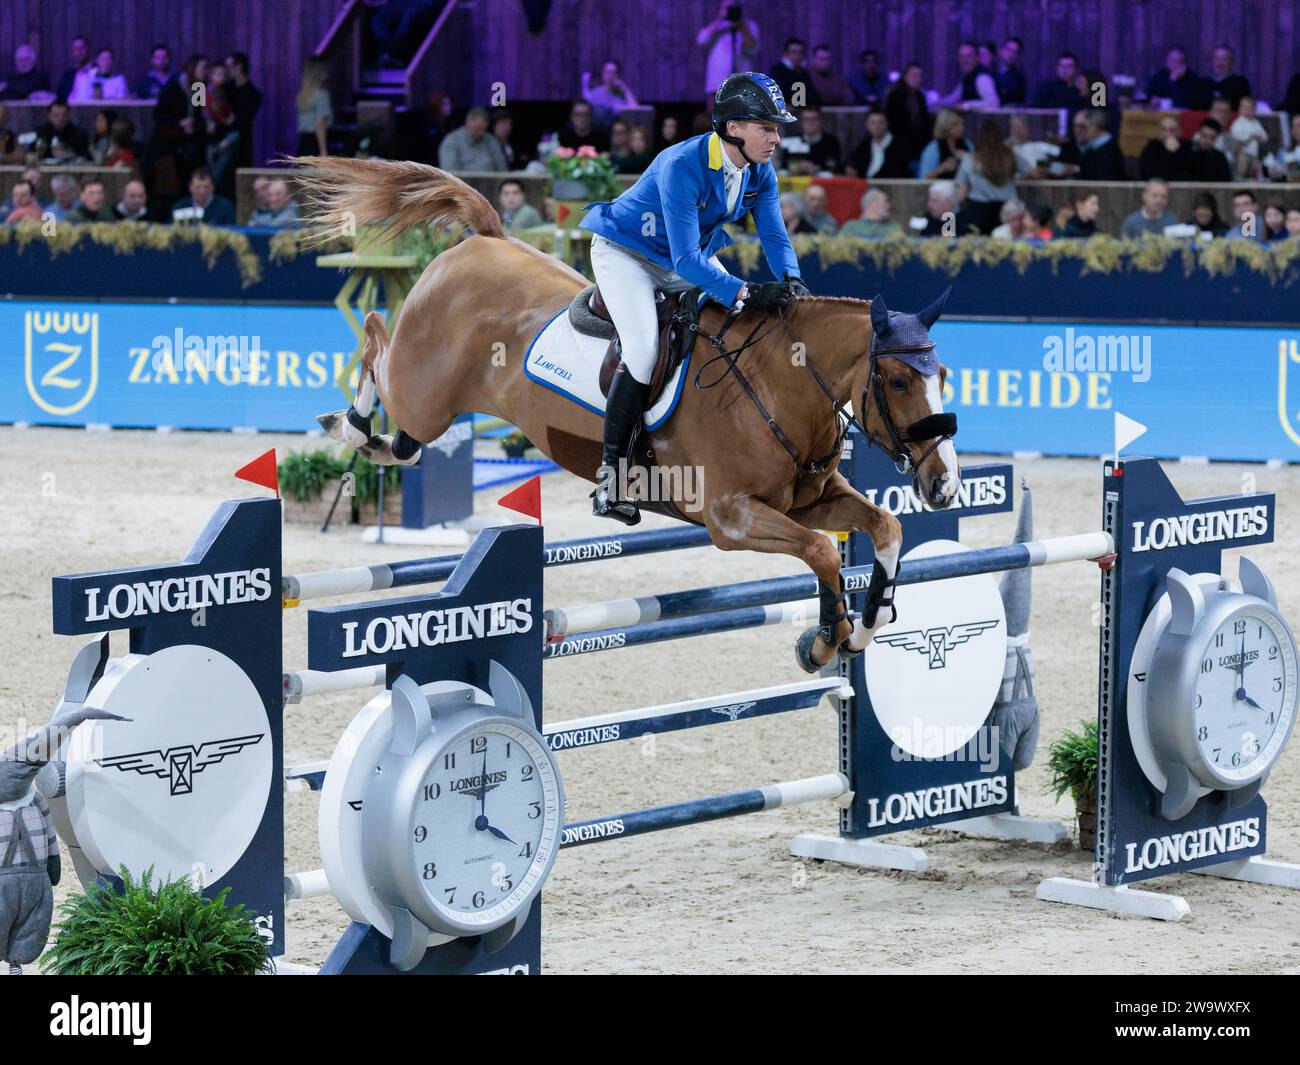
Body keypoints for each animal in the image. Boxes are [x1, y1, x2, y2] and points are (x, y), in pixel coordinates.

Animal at [297, 159, 967, 670]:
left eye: (943, 377)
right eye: (899, 380)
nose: (944, 484)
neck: (779, 382)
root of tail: (487, 239)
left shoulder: (809, 501)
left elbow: (885, 526)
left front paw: (866, 624)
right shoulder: (730, 518)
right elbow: (824, 553)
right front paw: (827, 641)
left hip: (429, 404)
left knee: (403, 435)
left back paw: (371, 436)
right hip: (424, 389)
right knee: (376, 339)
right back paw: (347, 423)